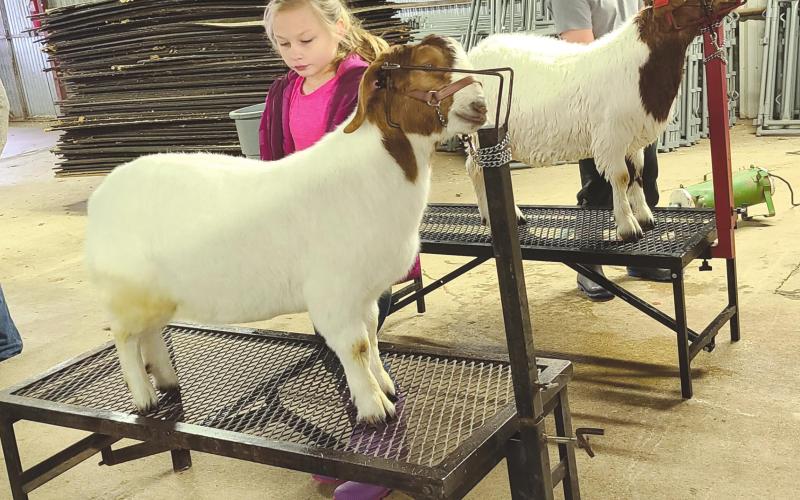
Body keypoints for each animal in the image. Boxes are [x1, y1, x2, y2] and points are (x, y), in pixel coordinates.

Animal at [85, 35, 487, 424]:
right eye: (428, 66)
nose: (481, 105)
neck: (376, 171)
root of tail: (102, 194)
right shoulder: (334, 292)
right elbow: (356, 346)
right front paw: (374, 408)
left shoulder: (366, 292)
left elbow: (373, 336)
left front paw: (384, 385)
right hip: (125, 292)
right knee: (125, 338)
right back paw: (144, 397)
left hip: (156, 294)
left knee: (152, 333)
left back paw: (167, 380)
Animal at [467, 0, 741, 241]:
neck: (639, 66)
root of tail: (476, 52)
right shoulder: (612, 137)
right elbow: (621, 177)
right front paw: (628, 227)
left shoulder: (633, 138)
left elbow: (638, 173)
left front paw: (644, 216)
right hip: (481, 131)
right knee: (476, 169)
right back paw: (492, 216)